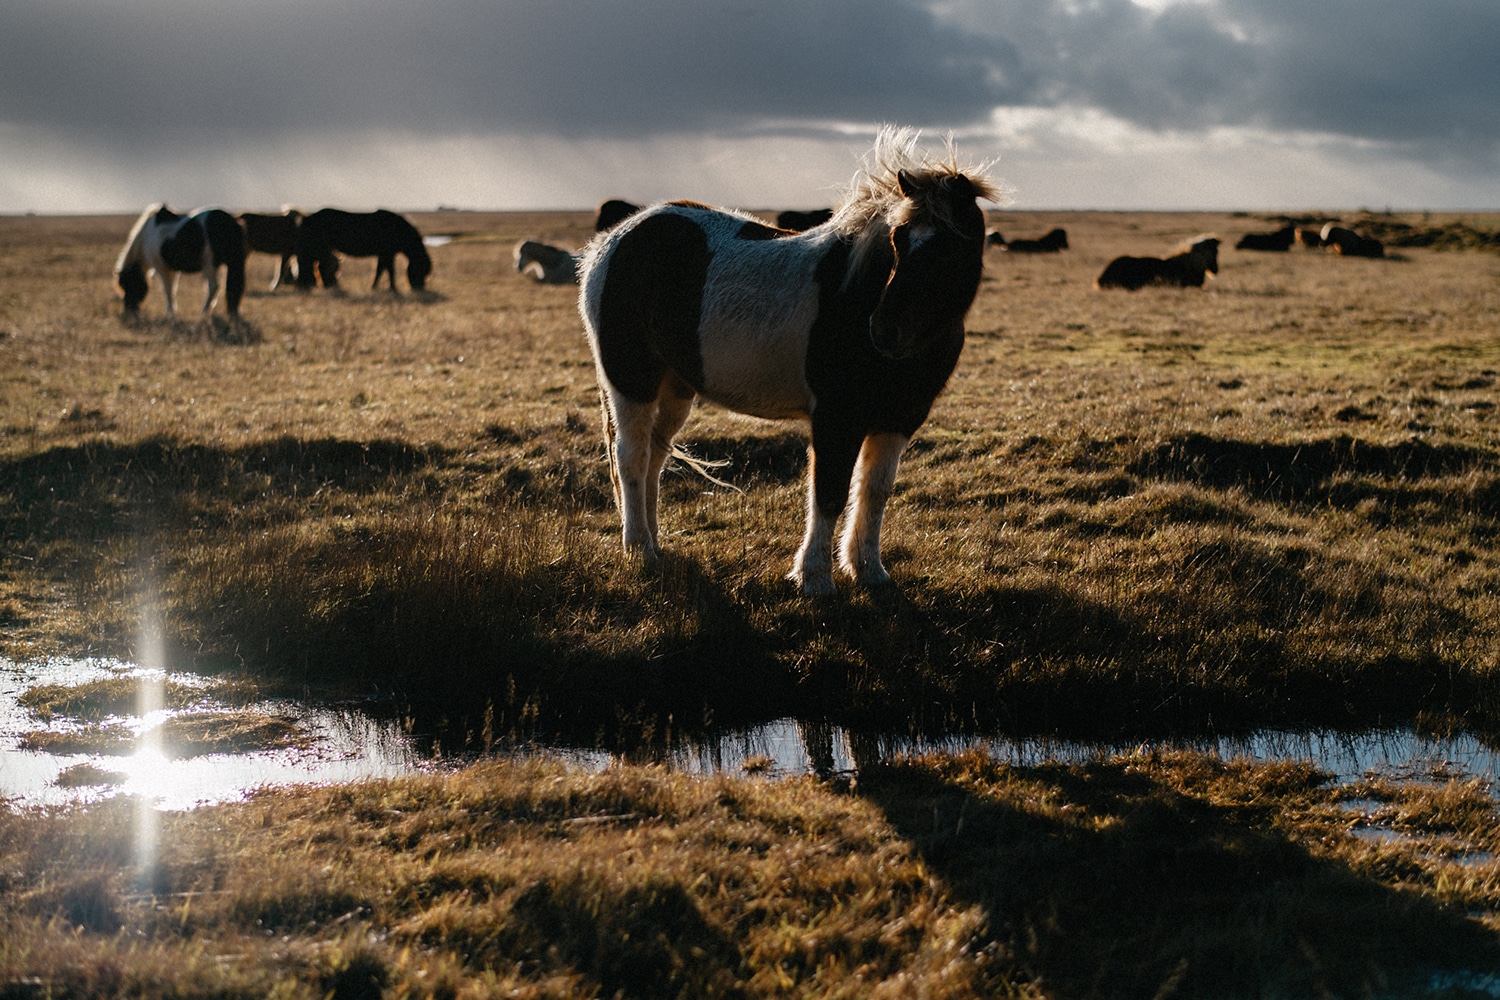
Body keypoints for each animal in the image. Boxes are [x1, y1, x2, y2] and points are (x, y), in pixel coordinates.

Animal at [113, 206, 246, 320]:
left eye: (128, 285)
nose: (129, 311)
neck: (146, 235)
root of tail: (231, 220)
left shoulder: (162, 268)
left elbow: (167, 290)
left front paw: (170, 313)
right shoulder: (173, 270)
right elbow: (173, 289)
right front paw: (171, 311)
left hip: (210, 265)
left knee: (213, 286)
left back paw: (204, 311)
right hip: (231, 263)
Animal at [295, 206, 432, 290]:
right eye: (421, 269)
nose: (419, 288)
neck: (397, 229)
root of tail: (307, 217)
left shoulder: (383, 254)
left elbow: (380, 270)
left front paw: (375, 287)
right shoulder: (388, 254)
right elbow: (390, 270)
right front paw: (392, 288)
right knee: (315, 267)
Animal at [579, 125, 1002, 593]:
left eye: (950, 249)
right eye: (898, 239)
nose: (884, 330)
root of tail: (612, 242)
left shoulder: (898, 419)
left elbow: (873, 492)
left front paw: (869, 571)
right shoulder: (836, 419)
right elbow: (829, 493)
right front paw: (815, 577)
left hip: (674, 387)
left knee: (655, 457)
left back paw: (655, 544)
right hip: (631, 381)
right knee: (631, 458)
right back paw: (640, 551)